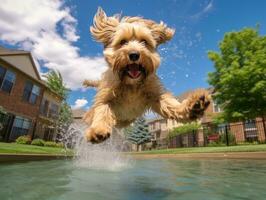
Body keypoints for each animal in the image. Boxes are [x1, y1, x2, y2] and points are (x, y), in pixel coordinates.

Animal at [83, 7, 210, 143]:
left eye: (144, 41)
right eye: (123, 42)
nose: (134, 54)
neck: (132, 85)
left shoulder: (155, 95)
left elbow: (170, 104)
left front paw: (191, 107)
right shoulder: (106, 96)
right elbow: (102, 109)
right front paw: (98, 130)